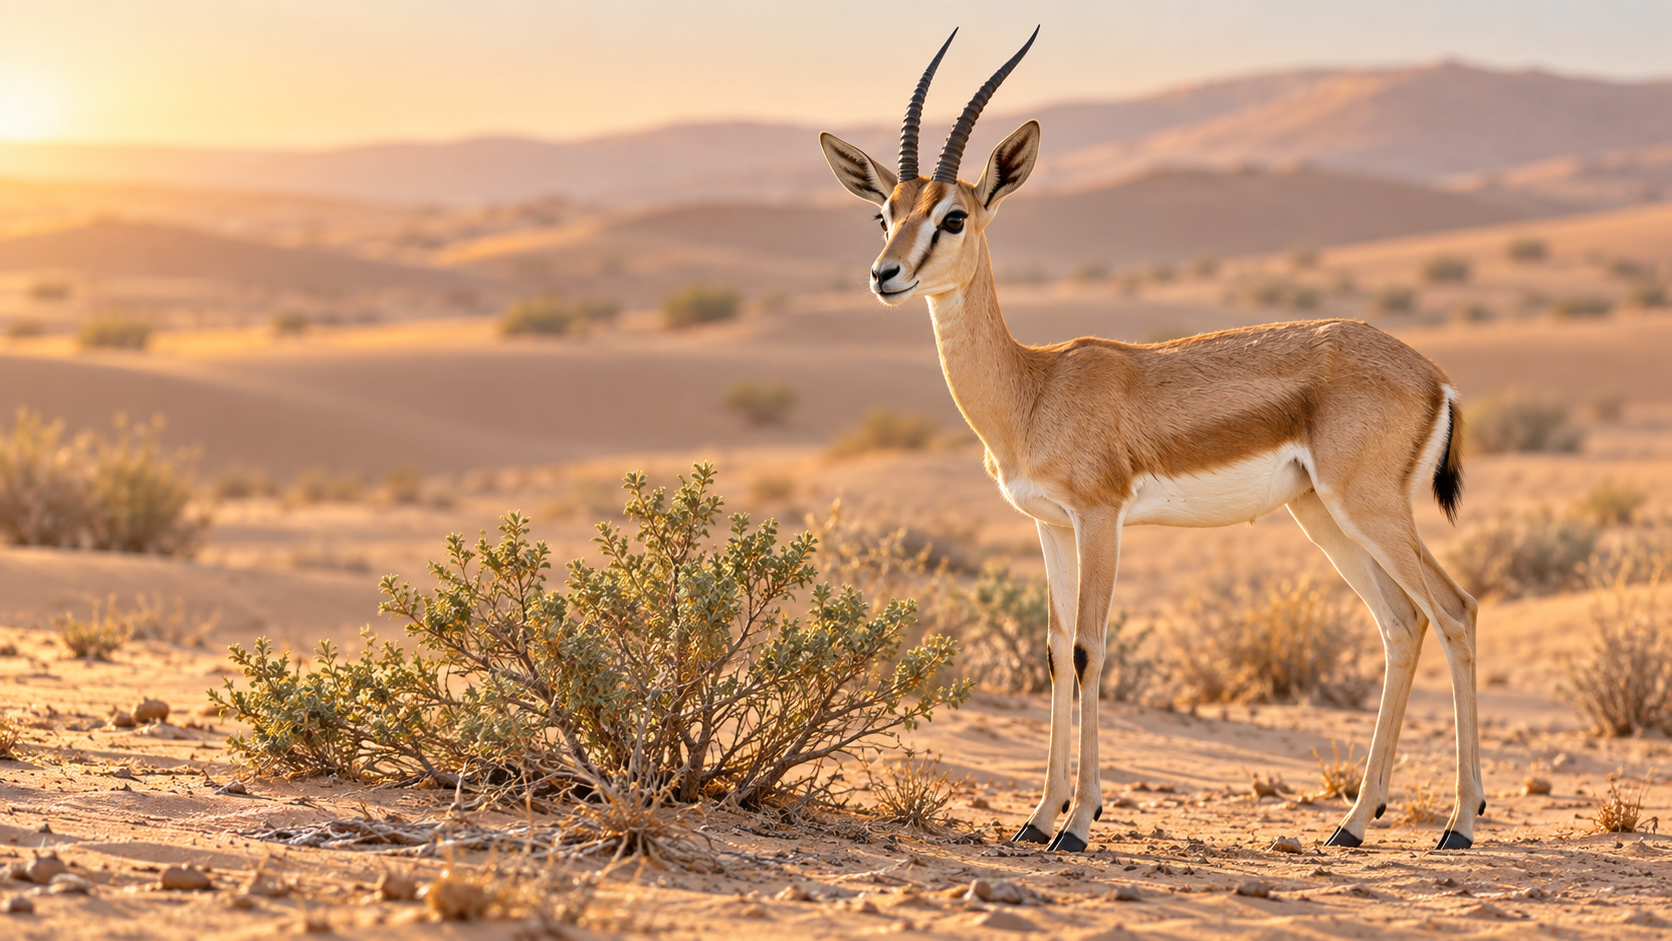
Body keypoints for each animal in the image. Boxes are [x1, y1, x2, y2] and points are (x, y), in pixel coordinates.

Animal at [818, 29, 1482, 854]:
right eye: (884, 213)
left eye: (953, 217)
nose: (885, 274)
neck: (1034, 387)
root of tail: (1434, 374)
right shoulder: (1050, 527)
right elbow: (1053, 653)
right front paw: (1037, 817)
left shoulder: (1100, 519)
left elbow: (1088, 647)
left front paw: (1078, 824)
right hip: (1322, 514)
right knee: (1401, 623)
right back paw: (1353, 822)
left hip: (1370, 508)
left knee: (1455, 610)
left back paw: (1459, 823)